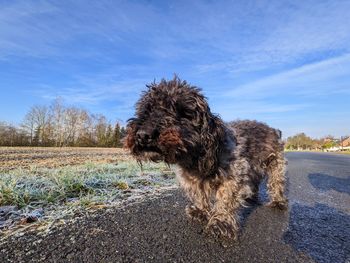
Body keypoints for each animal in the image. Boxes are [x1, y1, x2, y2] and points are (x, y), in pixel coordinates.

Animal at [125, 77, 288, 241]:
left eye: (182, 112)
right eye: (147, 110)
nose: (143, 135)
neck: (194, 157)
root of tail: (273, 129)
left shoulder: (233, 175)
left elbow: (225, 199)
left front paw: (221, 223)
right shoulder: (191, 180)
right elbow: (199, 195)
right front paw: (201, 211)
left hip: (276, 165)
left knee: (276, 183)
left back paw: (278, 202)